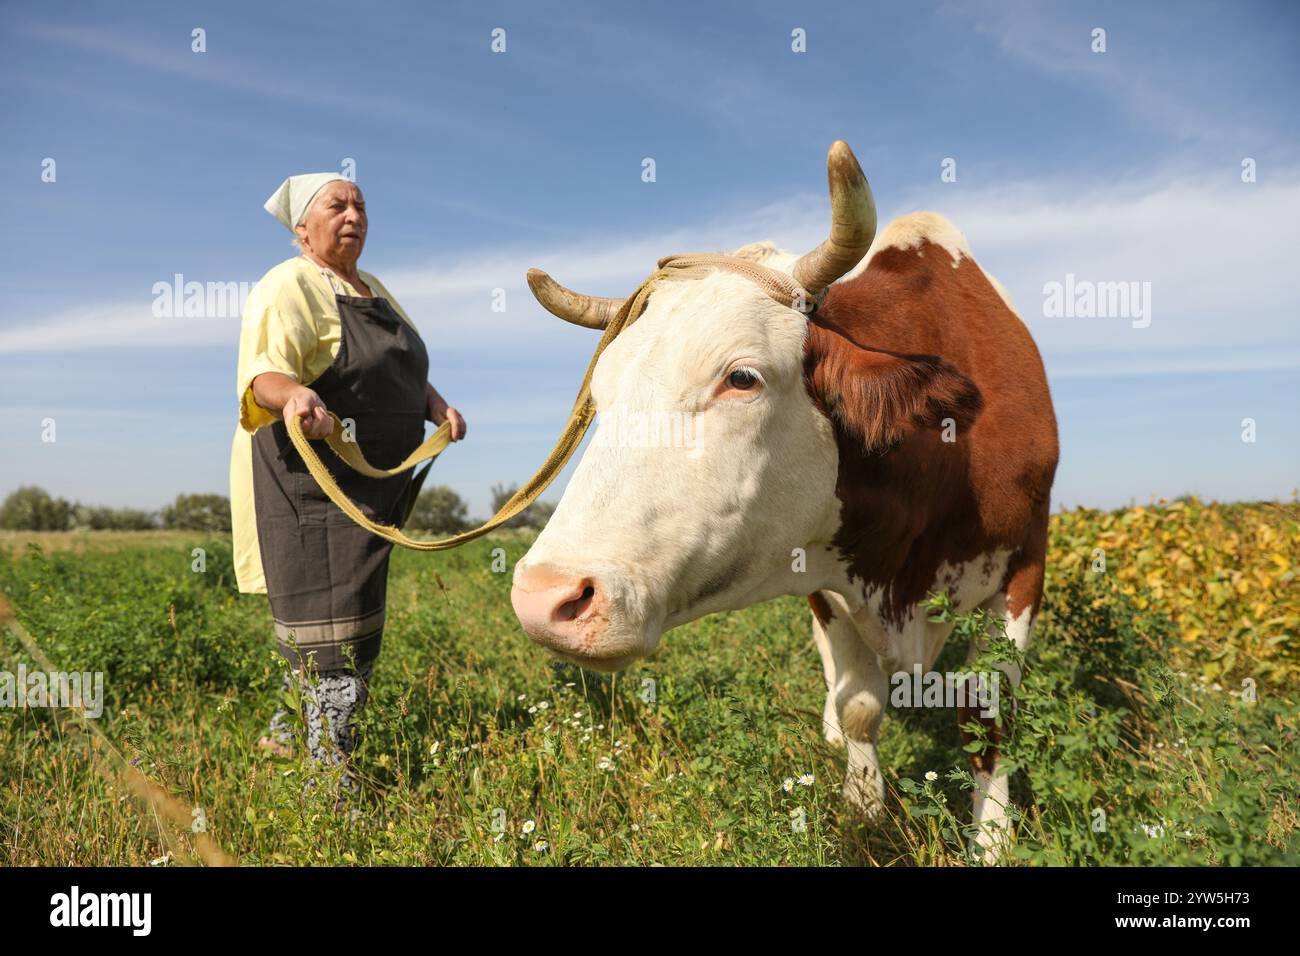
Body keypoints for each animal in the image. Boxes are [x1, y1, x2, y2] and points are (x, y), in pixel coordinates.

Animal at [510, 141, 1059, 860]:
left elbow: (987, 716)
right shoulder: (824, 582)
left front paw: (992, 841)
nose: (544, 597)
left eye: (741, 377)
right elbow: (859, 704)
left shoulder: (1025, 566)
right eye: (600, 395)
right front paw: (863, 807)